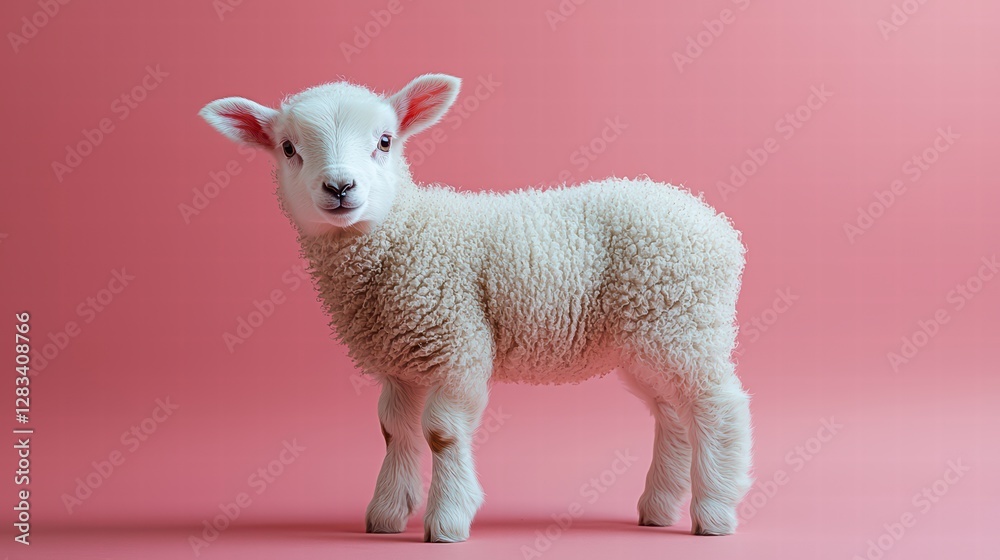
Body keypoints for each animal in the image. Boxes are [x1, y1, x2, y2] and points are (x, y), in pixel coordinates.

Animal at [200, 74, 753, 543]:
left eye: (385, 141)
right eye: (288, 148)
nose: (339, 187)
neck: (404, 234)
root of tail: (718, 225)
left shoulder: (456, 343)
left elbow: (442, 433)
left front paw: (447, 521)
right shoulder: (400, 358)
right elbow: (392, 429)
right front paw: (386, 513)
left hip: (683, 323)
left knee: (717, 406)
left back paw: (714, 513)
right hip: (650, 338)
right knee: (673, 413)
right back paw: (658, 509)